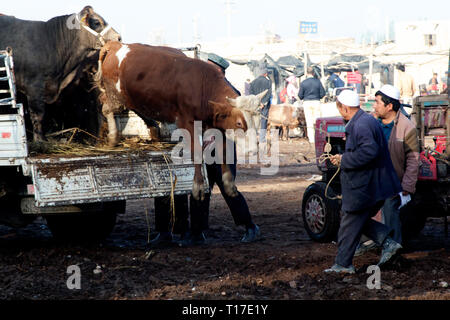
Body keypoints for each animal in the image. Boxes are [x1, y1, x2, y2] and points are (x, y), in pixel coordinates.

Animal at [96, 40, 248, 200]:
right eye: (239, 122)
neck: (203, 85)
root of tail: (115, 45)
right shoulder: (188, 122)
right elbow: (197, 152)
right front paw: (198, 187)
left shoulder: (219, 126)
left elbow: (223, 152)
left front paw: (229, 184)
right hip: (116, 95)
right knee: (106, 107)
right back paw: (113, 136)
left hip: (132, 96)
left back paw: (153, 128)